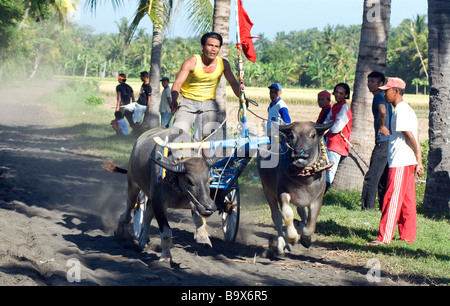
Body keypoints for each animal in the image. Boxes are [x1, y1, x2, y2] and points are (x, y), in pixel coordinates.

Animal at [117, 126, 217, 260]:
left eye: (210, 180)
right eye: (189, 181)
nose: (209, 207)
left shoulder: (192, 201)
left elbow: (199, 218)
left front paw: (203, 237)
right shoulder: (159, 202)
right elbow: (166, 232)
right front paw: (165, 256)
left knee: (147, 214)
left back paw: (143, 240)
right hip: (133, 183)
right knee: (130, 207)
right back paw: (123, 224)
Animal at [256, 120, 334, 255]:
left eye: (313, 135)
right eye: (291, 136)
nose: (299, 154)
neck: (304, 179)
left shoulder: (317, 199)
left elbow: (310, 225)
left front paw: (303, 233)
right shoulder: (282, 192)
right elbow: (287, 215)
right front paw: (292, 236)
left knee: (301, 211)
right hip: (268, 191)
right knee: (276, 217)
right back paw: (281, 244)